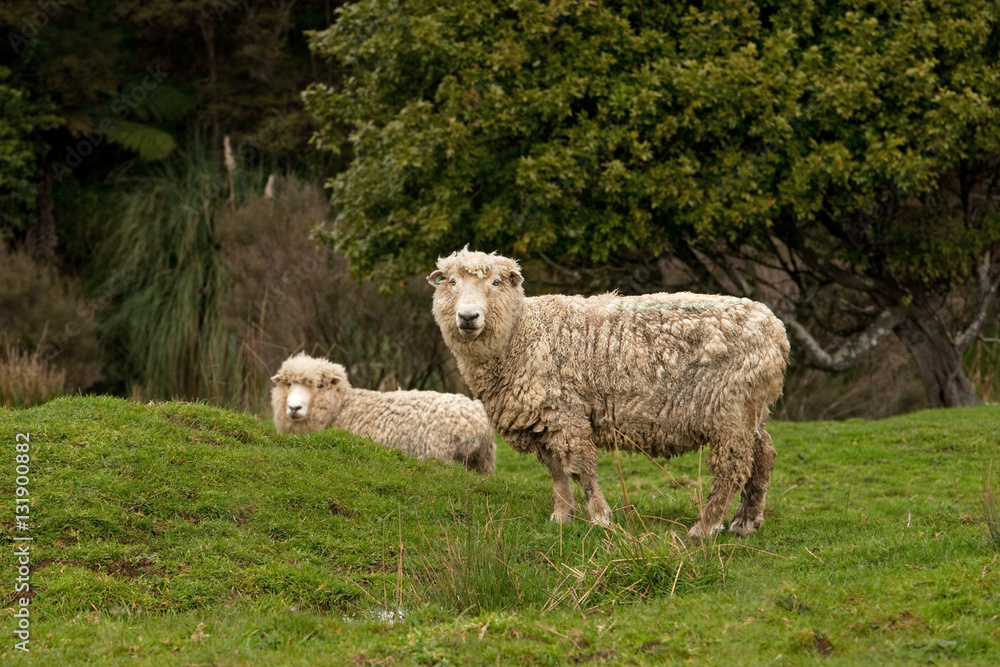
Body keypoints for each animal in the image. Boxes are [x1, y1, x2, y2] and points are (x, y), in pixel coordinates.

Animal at [270, 353, 496, 474]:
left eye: (319, 385)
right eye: (288, 384)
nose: (294, 408)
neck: (344, 407)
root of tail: (476, 421)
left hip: (441, 455)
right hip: (482, 464)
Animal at [427, 248, 789, 537]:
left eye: (497, 282)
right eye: (450, 281)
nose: (468, 317)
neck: (523, 331)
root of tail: (776, 330)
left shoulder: (566, 413)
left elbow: (580, 469)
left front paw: (600, 517)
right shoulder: (543, 419)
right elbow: (556, 471)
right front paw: (562, 516)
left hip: (730, 409)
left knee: (731, 468)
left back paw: (706, 527)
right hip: (751, 410)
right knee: (764, 457)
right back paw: (746, 521)